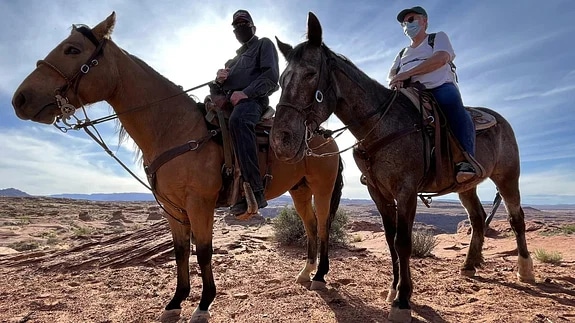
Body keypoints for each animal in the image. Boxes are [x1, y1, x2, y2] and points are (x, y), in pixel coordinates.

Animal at [12, 12, 346, 323]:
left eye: (72, 49)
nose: (20, 99)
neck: (175, 129)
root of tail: (326, 135)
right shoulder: (172, 208)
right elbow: (181, 251)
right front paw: (175, 302)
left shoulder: (199, 203)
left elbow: (204, 251)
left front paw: (203, 304)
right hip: (299, 190)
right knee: (310, 225)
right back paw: (305, 272)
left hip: (322, 188)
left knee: (323, 225)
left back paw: (319, 276)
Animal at [272, 11, 536, 322]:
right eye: (281, 79)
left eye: (311, 73)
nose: (281, 138)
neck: (381, 124)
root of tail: (500, 119)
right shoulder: (378, 192)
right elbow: (390, 240)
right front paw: (393, 289)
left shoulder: (406, 191)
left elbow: (403, 242)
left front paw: (402, 300)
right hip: (465, 186)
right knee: (477, 218)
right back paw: (470, 265)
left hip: (507, 176)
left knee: (516, 218)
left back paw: (525, 270)